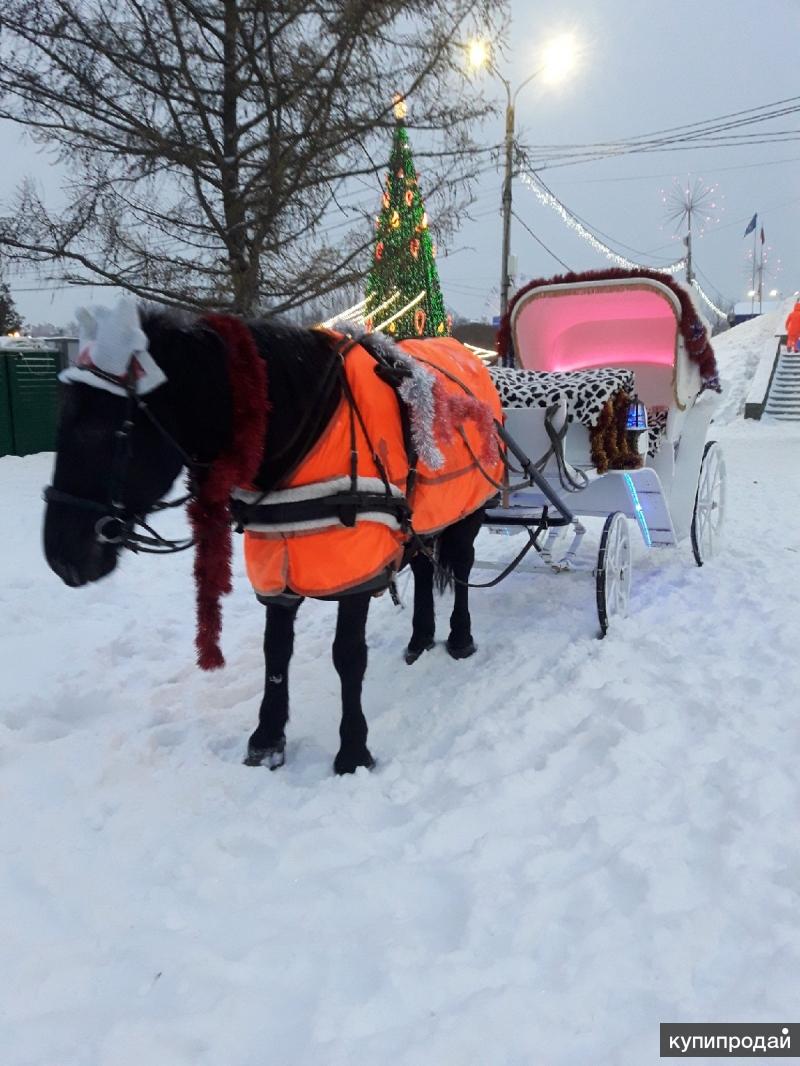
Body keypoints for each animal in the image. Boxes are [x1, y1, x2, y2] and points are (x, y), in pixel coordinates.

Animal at [43, 309, 488, 776]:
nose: (61, 557)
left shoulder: (355, 569)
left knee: (461, 567)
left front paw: (352, 751)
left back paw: (460, 638)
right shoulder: (277, 562)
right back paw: (420, 639)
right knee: (422, 566)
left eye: (104, 431)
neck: (303, 432)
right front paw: (267, 739)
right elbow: (275, 651)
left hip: (469, 512)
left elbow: (348, 655)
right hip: (423, 519)